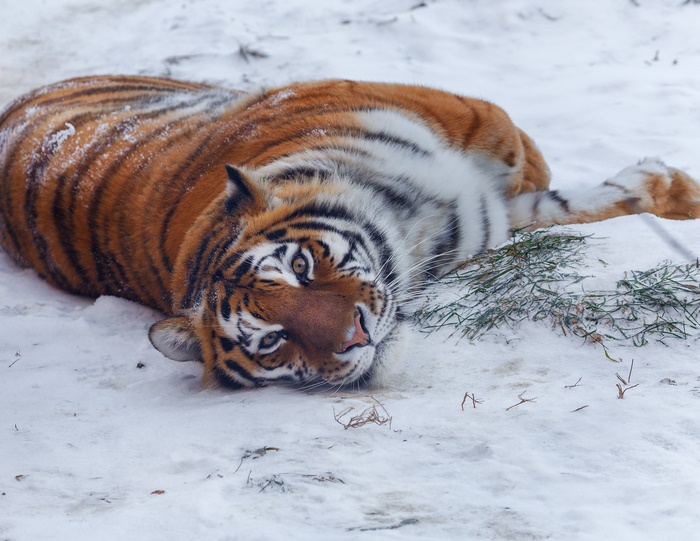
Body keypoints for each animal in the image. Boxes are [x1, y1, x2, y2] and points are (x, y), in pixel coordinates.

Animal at [1, 76, 698, 390]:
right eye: (272, 341)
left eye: (301, 268)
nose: (356, 336)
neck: (419, 230)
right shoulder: (492, 220)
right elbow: (563, 202)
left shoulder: (464, 117)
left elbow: (533, 162)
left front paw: (674, 189)